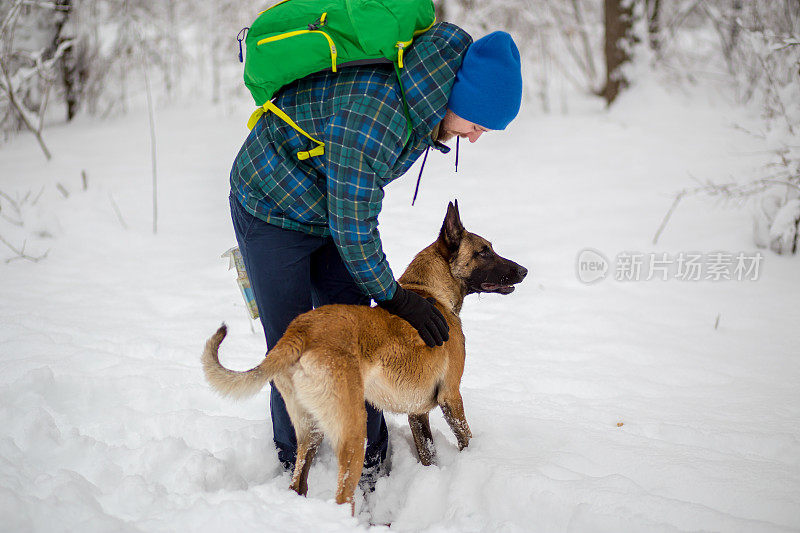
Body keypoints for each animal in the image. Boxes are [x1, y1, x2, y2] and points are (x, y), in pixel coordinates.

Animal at [202, 200, 524, 512]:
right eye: (484, 252)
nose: (523, 271)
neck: (430, 293)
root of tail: (300, 331)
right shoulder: (450, 396)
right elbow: (465, 437)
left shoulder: (417, 412)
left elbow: (428, 453)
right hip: (353, 433)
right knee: (343, 497)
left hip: (310, 429)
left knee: (298, 483)